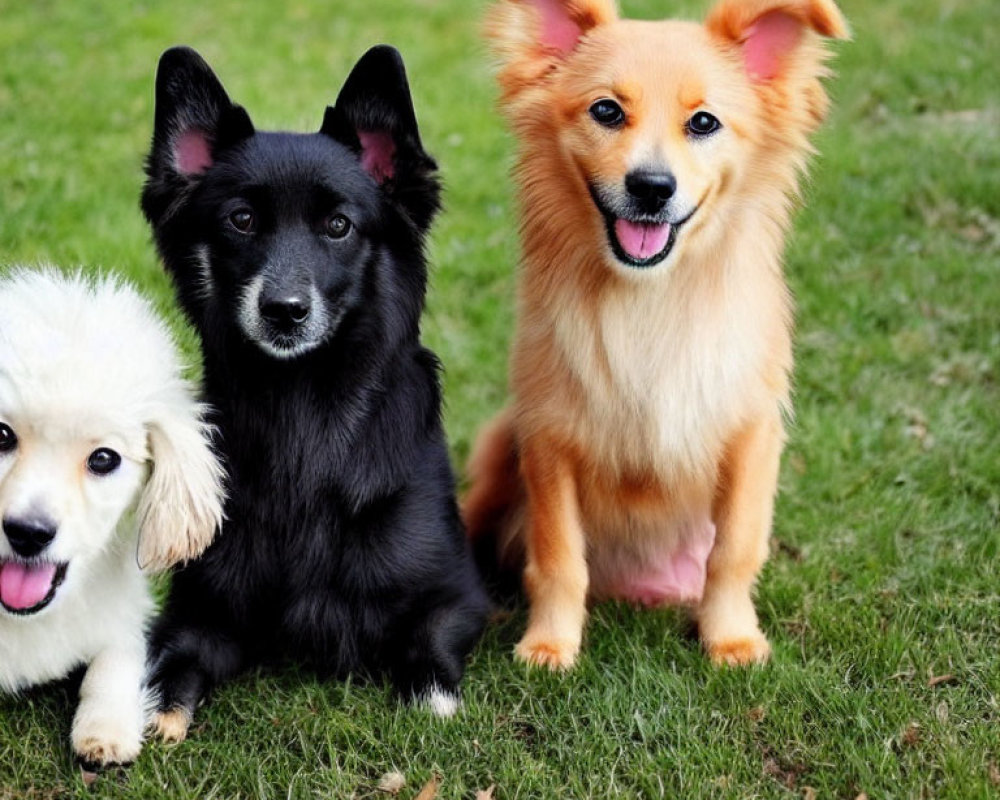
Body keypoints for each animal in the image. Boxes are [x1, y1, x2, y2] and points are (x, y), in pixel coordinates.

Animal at [0, 270, 223, 768]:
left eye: (103, 458)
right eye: (1, 435)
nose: (27, 534)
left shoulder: (126, 613)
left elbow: (115, 662)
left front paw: (106, 729)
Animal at [141, 45, 488, 736]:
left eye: (338, 225)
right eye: (241, 220)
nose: (284, 311)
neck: (302, 403)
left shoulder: (460, 594)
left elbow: (428, 637)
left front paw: (432, 695)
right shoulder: (200, 607)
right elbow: (170, 661)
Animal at [464, 0, 848, 668]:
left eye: (704, 122)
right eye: (606, 111)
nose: (651, 187)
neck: (651, 299)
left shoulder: (751, 437)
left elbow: (734, 551)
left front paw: (731, 637)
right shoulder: (549, 441)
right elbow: (558, 557)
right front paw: (550, 643)